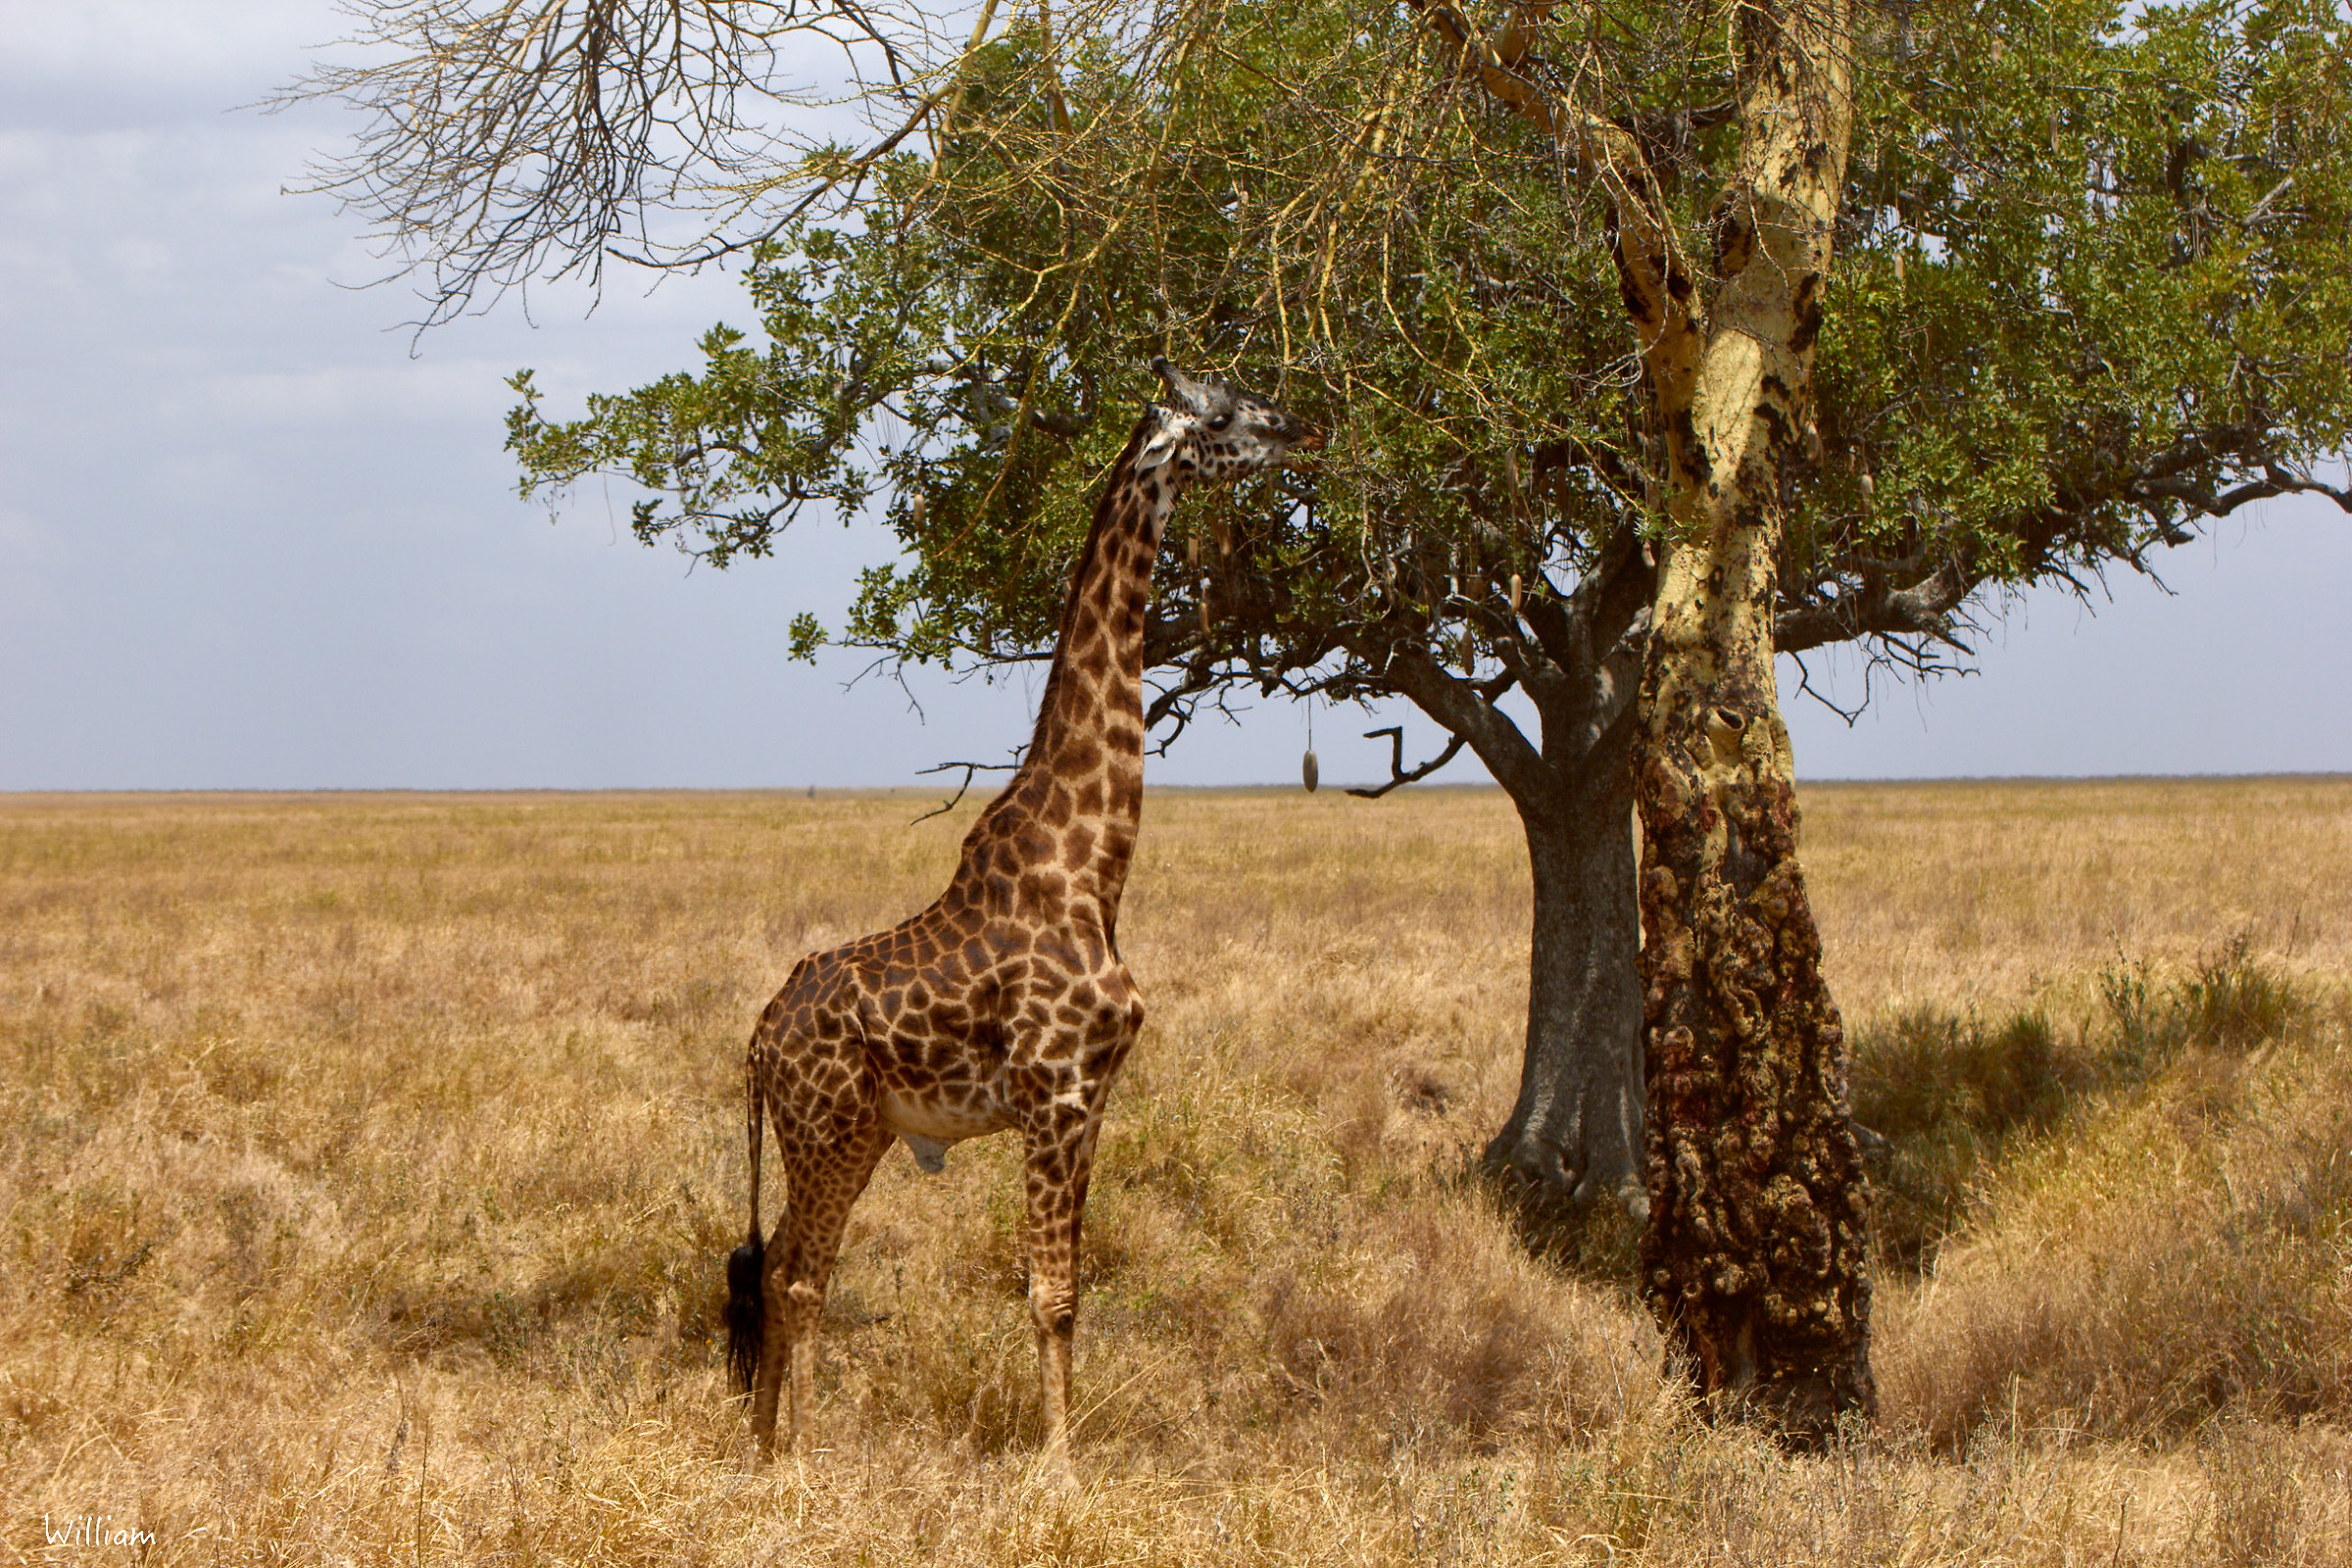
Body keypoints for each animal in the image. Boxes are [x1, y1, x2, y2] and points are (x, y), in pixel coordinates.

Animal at [725, 358, 1316, 1458]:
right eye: (1220, 415)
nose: (1299, 428)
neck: (1089, 865)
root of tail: (757, 1041)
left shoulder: (1094, 1100)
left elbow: (1069, 1292)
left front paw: (1065, 1453)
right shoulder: (1055, 1094)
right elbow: (1050, 1298)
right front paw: (1060, 1469)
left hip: (852, 1132)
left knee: (776, 1265)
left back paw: (763, 1442)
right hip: (825, 1125)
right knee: (799, 1277)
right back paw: (808, 1458)